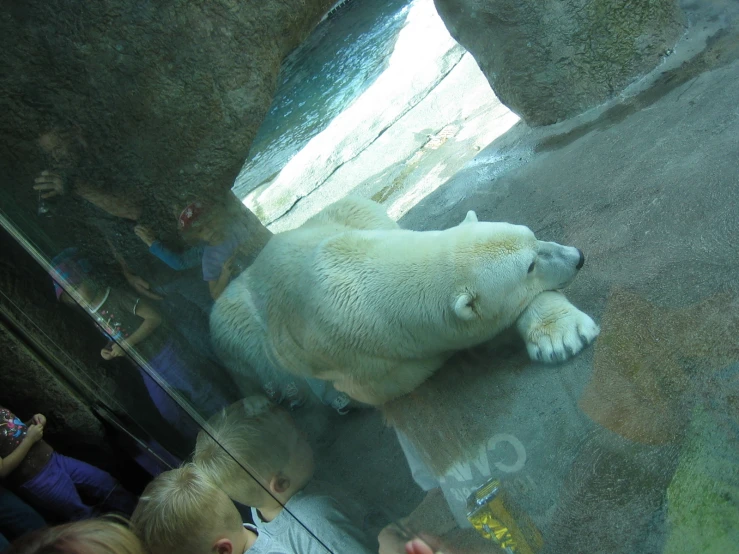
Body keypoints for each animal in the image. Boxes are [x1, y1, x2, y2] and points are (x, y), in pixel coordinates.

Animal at [210, 196, 600, 404]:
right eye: (530, 266)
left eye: (534, 238)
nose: (578, 256)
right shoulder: (362, 367)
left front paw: (561, 336)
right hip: (233, 328)